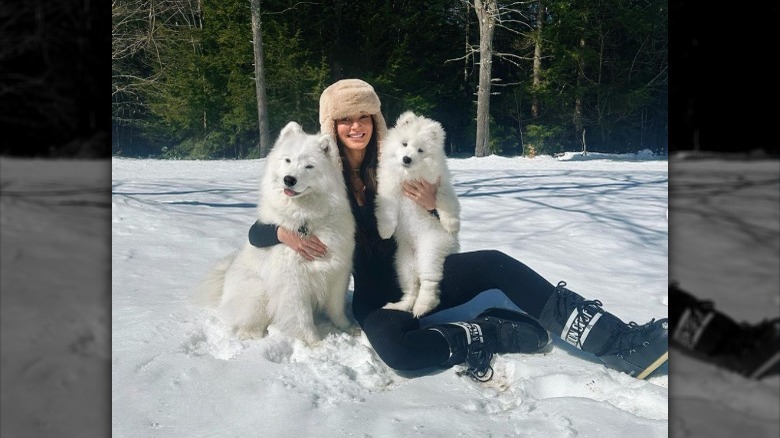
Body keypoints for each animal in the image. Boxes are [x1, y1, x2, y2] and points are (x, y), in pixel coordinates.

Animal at [201, 121, 360, 344]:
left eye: (309, 166)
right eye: (288, 160)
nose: (289, 179)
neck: (306, 220)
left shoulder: (337, 271)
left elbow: (336, 307)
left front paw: (347, 327)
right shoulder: (292, 280)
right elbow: (301, 316)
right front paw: (314, 342)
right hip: (258, 291)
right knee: (248, 321)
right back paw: (251, 334)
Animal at [374, 112, 460, 318]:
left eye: (420, 150)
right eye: (404, 144)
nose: (407, 158)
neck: (410, 175)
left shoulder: (440, 183)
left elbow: (445, 200)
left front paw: (452, 225)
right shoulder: (388, 188)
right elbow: (387, 209)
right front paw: (385, 231)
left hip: (431, 248)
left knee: (429, 282)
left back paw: (422, 307)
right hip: (403, 262)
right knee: (413, 288)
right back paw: (401, 306)